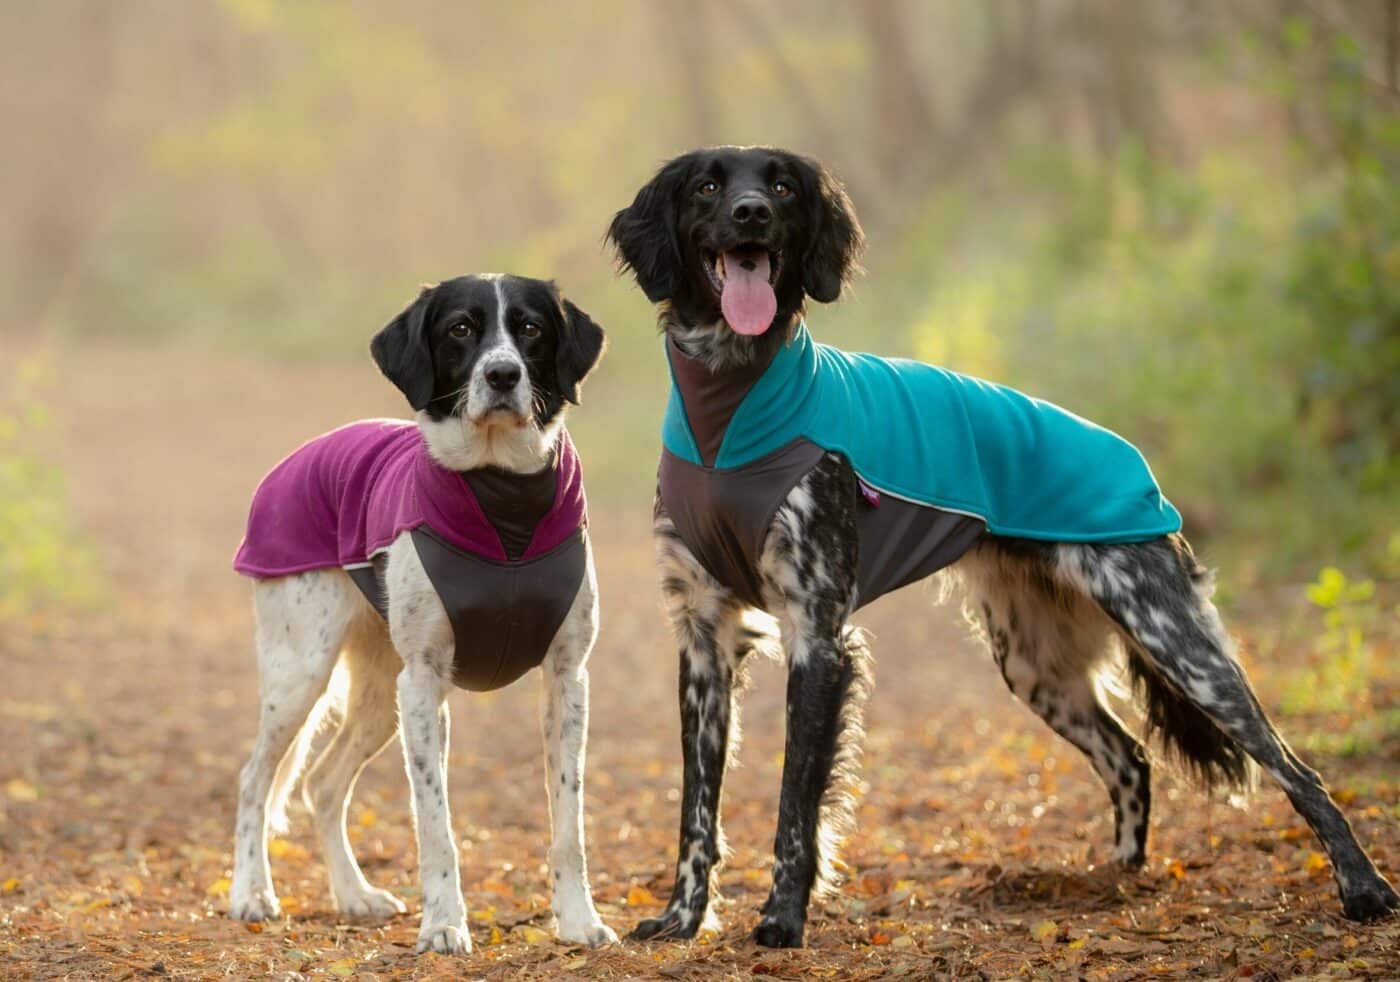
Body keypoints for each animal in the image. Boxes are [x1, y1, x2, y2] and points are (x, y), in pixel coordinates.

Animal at [226, 274, 616, 952]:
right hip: (303, 672)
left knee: (322, 784)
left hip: (382, 694)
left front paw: (578, 920)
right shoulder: (427, 682)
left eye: (531, 327)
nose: (503, 375)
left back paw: (354, 895)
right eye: (460, 328)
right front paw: (444, 925)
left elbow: (568, 820)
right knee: (255, 780)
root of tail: (299, 457)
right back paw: (252, 893)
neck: (502, 500)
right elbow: (436, 825)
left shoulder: (568, 679)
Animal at [607, 149, 1394, 946]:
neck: (730, 406)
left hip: (1174, 638)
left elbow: (797, 801)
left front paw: (782, 918)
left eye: (782, 187)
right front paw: (682, 917)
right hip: (1034, 663)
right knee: (1132, 756)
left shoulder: (818, 633)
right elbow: (696, 807)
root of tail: (1143, 471)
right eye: (708, 186)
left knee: (1297, 770)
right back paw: (1117, 877)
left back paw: (1362, 887)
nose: (751, 215)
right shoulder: (703, 636)